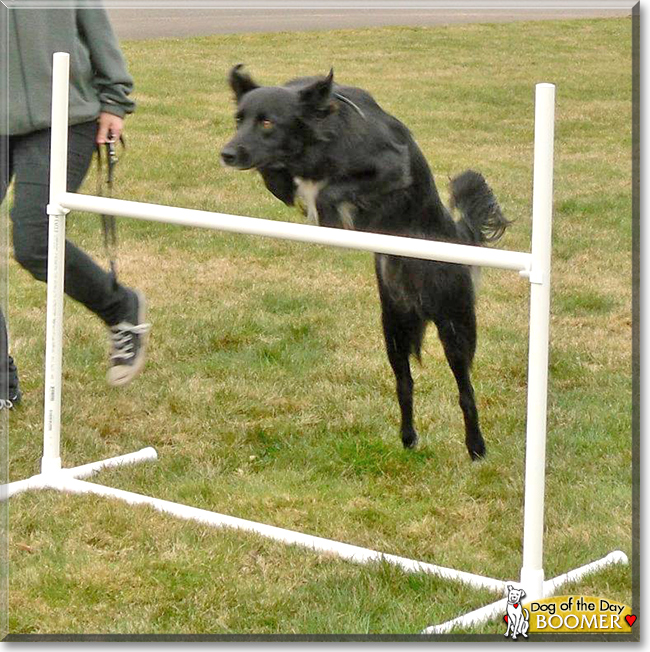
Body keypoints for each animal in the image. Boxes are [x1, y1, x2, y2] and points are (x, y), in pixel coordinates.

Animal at [220, 66, 508, 458]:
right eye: (239, 119)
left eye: (267, 122)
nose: (227, 153)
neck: (325, 129)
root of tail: (457, 236)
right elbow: (280, 181)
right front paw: (290, 188)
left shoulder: (391, 168)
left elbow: (331, 190)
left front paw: (326, 215)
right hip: (394, 330)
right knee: (405, 384)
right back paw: (408, 438)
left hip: (454, 325)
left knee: (466, 391)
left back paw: (476, 447)